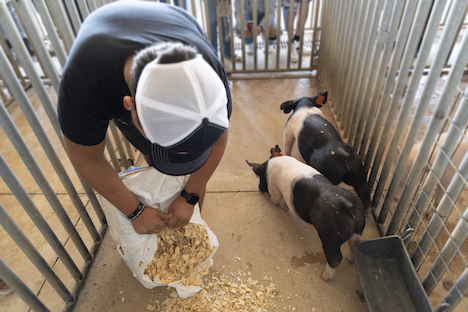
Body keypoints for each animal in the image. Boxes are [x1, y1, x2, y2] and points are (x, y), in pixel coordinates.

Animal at [247, 147, 364, 280]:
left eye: (260, 177)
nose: (259, 188)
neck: (269, 164)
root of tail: (349, 207)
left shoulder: (273, 185)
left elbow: (276, 197)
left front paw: (272, 201)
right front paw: (284, 208)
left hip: (330, 237)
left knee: (335, 258)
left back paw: (323, 276)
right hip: (358, 229)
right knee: (354, 242)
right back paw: (350, 259)